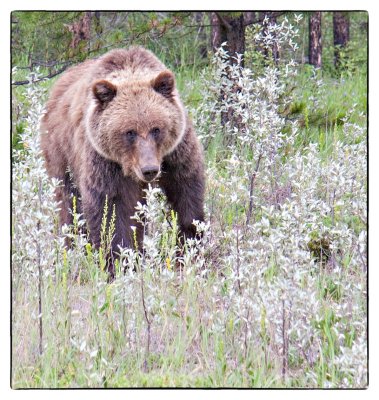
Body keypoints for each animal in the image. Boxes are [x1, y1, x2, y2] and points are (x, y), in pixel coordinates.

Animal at [40, 46, 205, 272]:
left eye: (156, 129)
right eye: (129, 132)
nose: (149, 169)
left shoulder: (176, 153)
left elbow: (187, 192)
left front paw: (188, 247)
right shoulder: (104, 162)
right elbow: (110, 209)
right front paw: (119, 260)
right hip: (61, 153)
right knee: (69, 202)